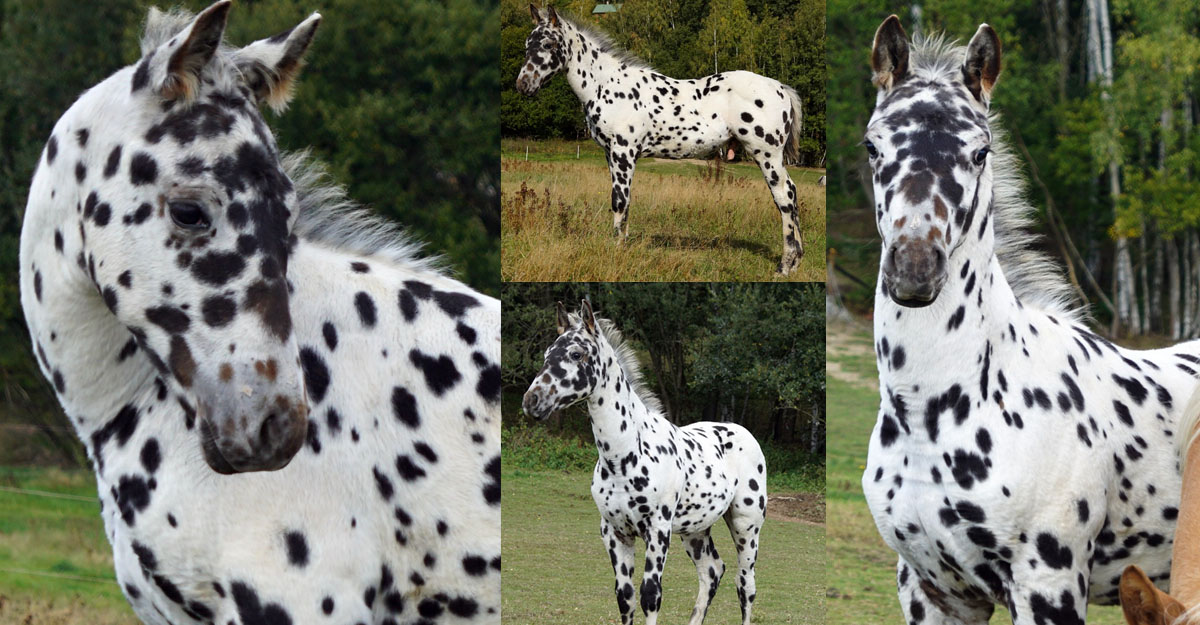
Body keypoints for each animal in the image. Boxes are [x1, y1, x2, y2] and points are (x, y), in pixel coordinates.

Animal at [516, 6, 806, 275]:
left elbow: (619, 200)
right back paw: (796, 262)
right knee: (791, 193)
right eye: (527, 44)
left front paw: (616, 250)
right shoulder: (611, 154)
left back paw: (784, 266)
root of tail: (780, 88)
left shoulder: (623, 152)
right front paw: (621, 244)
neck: (607, 84)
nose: (523, 84)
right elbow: (623, 201)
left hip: (767, 154)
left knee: (784, 197)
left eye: (549, 44)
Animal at [520, 299, 763, 619]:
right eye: (547, 353)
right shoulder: (614, 532)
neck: (624, 457)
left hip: (746, 526)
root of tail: (743, 432)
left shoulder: (657, 530)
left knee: (745, 586)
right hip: (696, 530)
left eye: (576, 353)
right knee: (711, 572)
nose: (532, 401)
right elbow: (625, 596)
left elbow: (651, 594)